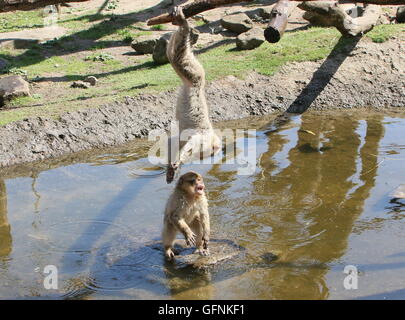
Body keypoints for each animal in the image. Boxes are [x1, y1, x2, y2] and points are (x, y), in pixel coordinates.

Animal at [165, 6, 221, 184]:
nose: (215, 151)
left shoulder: (200, 142)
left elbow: (179, 147)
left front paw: (174, 167)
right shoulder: (202, 140)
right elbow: (180, 146)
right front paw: (174, 166)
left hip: (192, 77)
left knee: (177, 57)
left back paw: (181, 24)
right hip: (196, 78)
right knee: (178, 56)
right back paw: (182, 23)